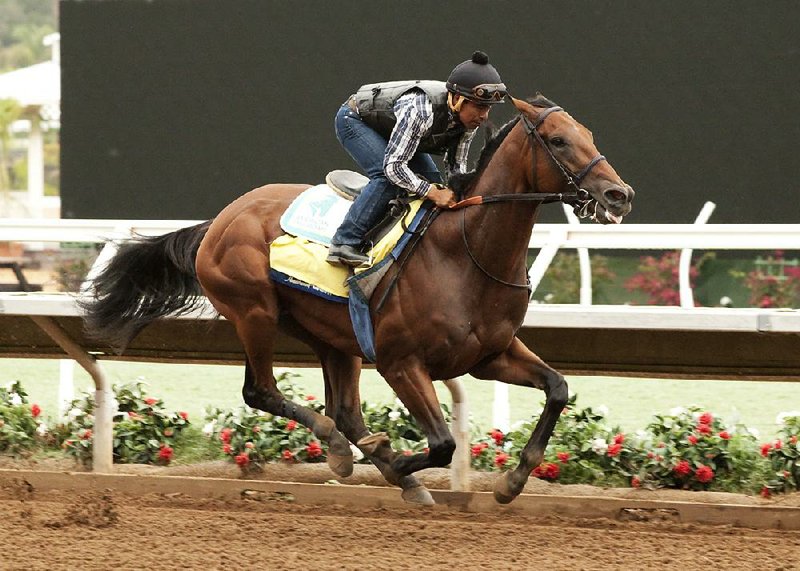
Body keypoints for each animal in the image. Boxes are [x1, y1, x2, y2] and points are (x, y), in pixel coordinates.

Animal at [79, 96, 632, 508]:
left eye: (589, 134)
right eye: (558, 140)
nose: (619, 194)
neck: (464, 252)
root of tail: (220, 219)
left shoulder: (489, 355)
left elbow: (557, 389)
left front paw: (511, 482)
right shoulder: (399, 361)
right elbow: (442, 443)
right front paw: (393, 461)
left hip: (331, 335)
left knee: (342, 408)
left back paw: (370, 460)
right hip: (254, 312)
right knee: (263, 392)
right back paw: (344, 451)